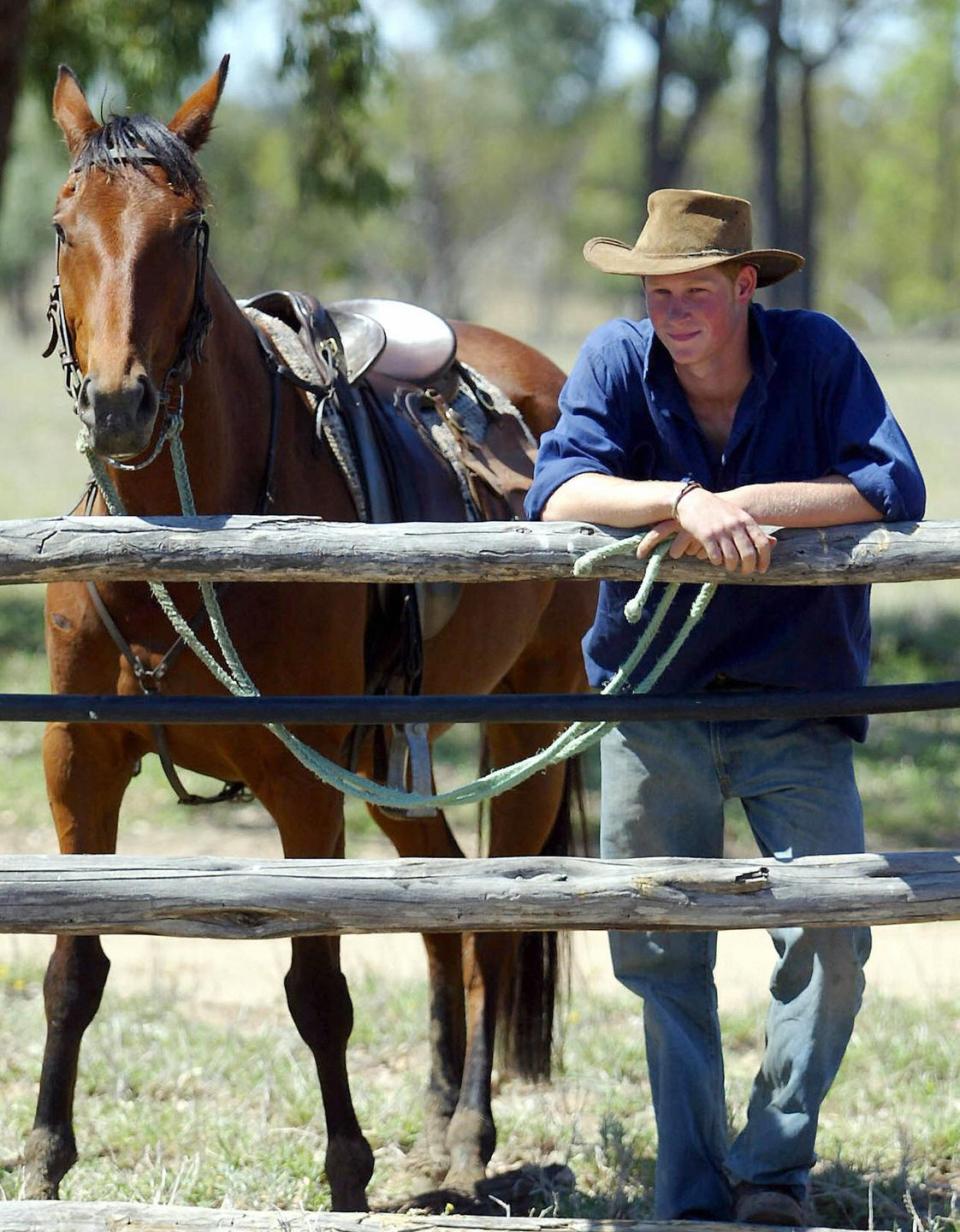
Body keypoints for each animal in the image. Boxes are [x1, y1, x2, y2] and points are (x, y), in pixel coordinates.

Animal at [26, 60, 596, 1212]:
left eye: (187, 229)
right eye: (64, 224)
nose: (118, 405)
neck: (183, 543)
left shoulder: (302, 781)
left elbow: (318, 986)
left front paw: (345, 1171)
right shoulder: (79, 761)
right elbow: (73, 968)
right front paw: (46, 1159)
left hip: (525, 728)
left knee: (492, 928)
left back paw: (469, 1137)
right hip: (392, 760)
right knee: (438, 906)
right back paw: (437, 1119)